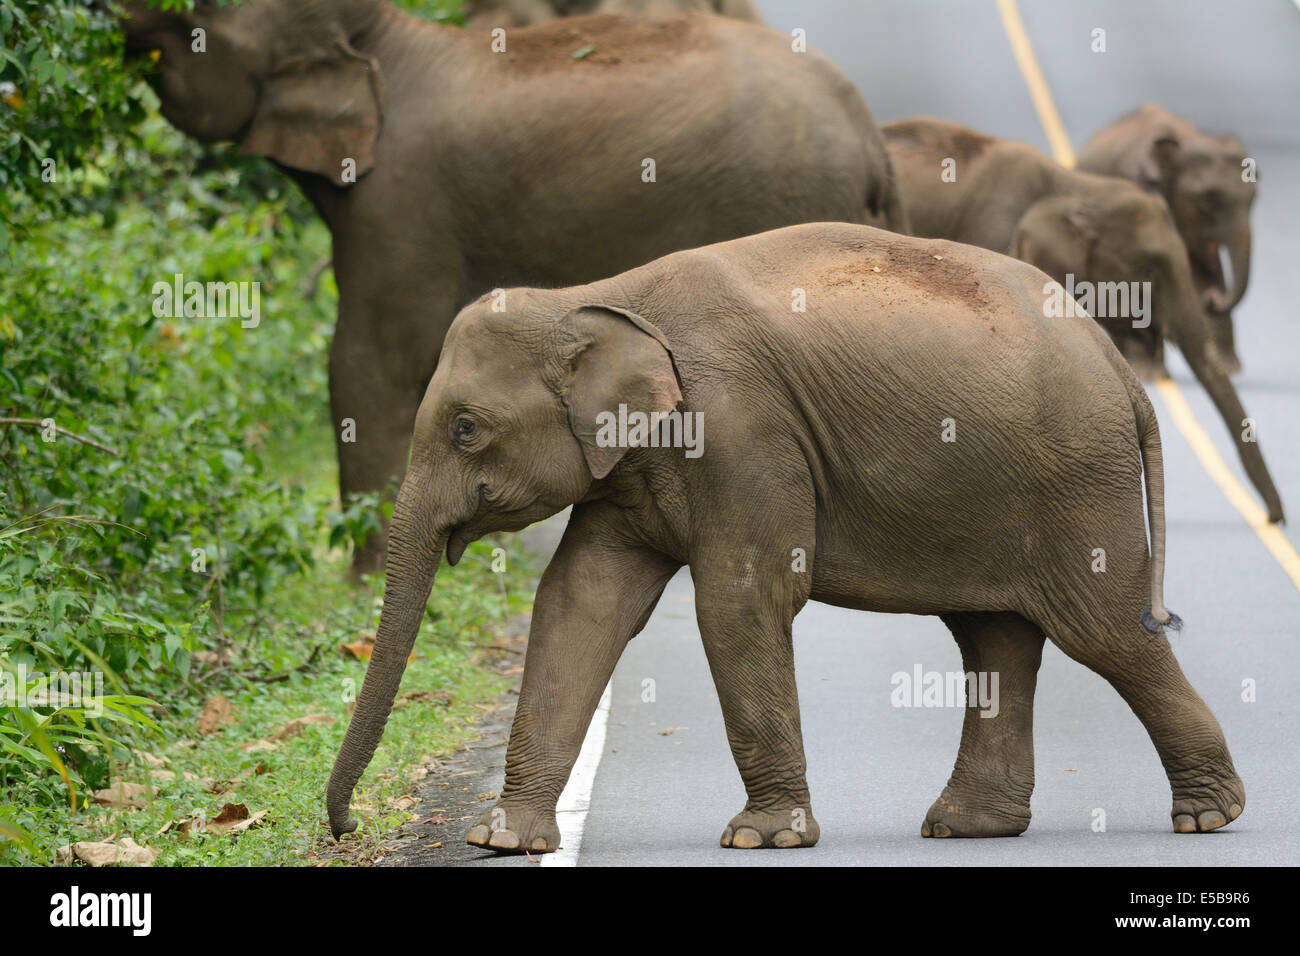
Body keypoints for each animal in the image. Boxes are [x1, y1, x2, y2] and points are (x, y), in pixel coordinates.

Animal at [119, 0, 904, 573]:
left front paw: (361, 585)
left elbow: (371, 359)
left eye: (193, 20)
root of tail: (872, 141)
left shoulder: (403, 199)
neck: (387, 37)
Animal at [326, 221, 1245, 851]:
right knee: (995, 638)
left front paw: (761, 838)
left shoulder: (741, 431)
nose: (344, 829)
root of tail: (1119, 365)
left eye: (466, 430)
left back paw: (1208, 814)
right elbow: (579, 602)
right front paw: (503, 841)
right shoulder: (633, 464)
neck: (600, 294)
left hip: (1077, 480)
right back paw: (966, 826)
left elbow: (741, 601)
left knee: (1104, 629)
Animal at [1078, 104, 1255, 373]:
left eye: (1255, 197)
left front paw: (1228, 367)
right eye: (1210, 198)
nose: (1211, 299)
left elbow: (1205, 270)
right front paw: (1147, 371)